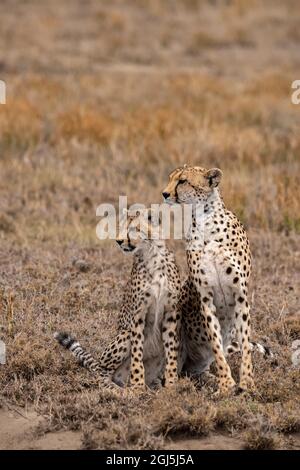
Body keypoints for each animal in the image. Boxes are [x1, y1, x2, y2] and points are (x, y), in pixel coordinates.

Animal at [54, 208, 182, 390]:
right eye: (120, 228)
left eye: (134, 228)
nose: (119, 241)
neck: (153, 254)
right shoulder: (138, 316)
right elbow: (137, 353)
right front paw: (137, 386)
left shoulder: (170, 314)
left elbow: (171, 351)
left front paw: (171, 385)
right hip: (124, 335)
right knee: (101, 372)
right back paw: (115, 389)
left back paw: (152, 386)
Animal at [163, 164, 256, 392]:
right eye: (171, 178)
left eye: (182, 181)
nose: (165, 193)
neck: (204, 218)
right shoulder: (206, 298)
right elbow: (215, 342)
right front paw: (226, 384)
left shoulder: (241, 295)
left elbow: (245, 343)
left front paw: (247, 383)